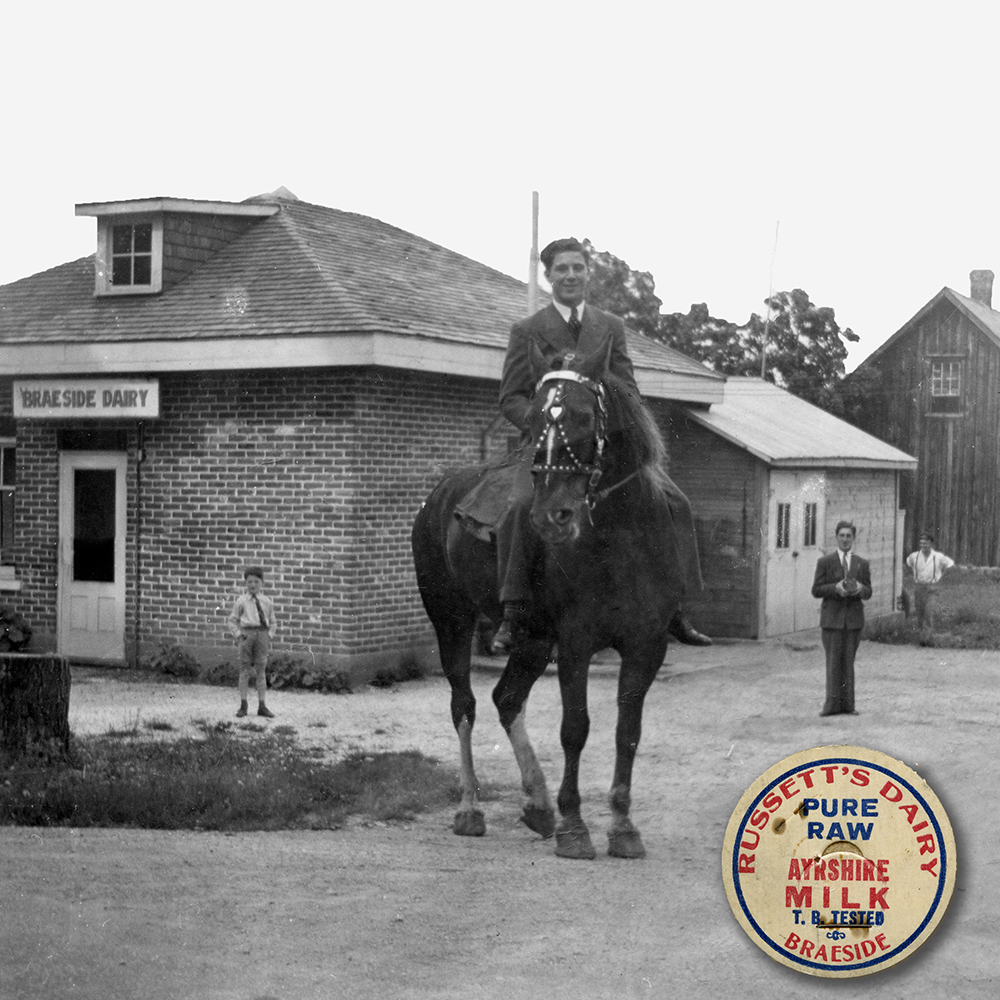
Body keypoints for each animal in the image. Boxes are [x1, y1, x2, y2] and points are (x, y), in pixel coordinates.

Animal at [410, 340, 684, 856]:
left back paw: (537, 804)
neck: (621, 542)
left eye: (585, 416)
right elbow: (575, 730)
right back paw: (471, 809)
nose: (551, 516)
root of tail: (438, 495)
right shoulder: (575, 643)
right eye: (535, 416)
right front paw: (574, 827)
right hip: (451, 621)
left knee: (506, 698)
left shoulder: (647, 646)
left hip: (533, 640)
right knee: (464, 705)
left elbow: (627, 733)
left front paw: (622, 826)